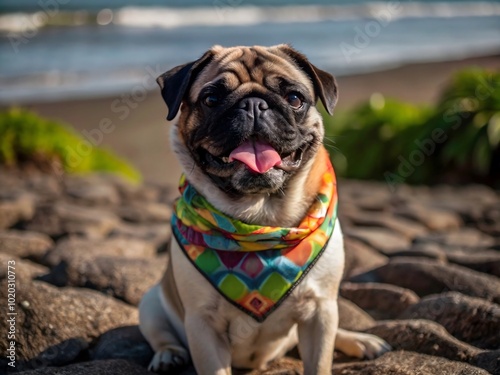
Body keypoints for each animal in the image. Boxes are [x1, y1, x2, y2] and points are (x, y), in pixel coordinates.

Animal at [138, 42, 390, 374]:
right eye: (211, 99)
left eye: (294, 98)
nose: (254, 104)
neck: (262, 216)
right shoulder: (203, 325)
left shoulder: (320, 312)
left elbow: (320, 361)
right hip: (150, 303)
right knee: (161, 334)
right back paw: (167, 354)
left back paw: (360, 341)